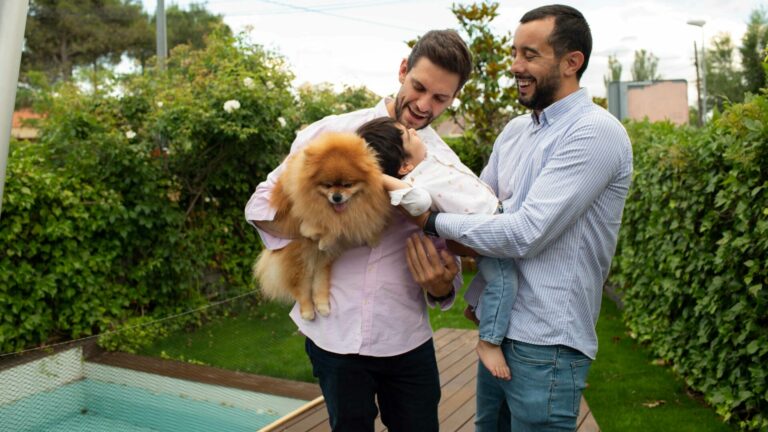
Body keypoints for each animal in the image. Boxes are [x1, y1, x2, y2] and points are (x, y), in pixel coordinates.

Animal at [256, 133, 392, 318]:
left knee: (319, 283)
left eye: (347, 185)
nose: (336, 197)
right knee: (301, 288)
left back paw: (322, 306)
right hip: (299, 261)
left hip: (322, 263)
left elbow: (350, 224)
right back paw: (308, 311)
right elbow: (321, 224)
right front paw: (318, 234)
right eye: (327, 185)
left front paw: (371, 237)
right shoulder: (306, 211)